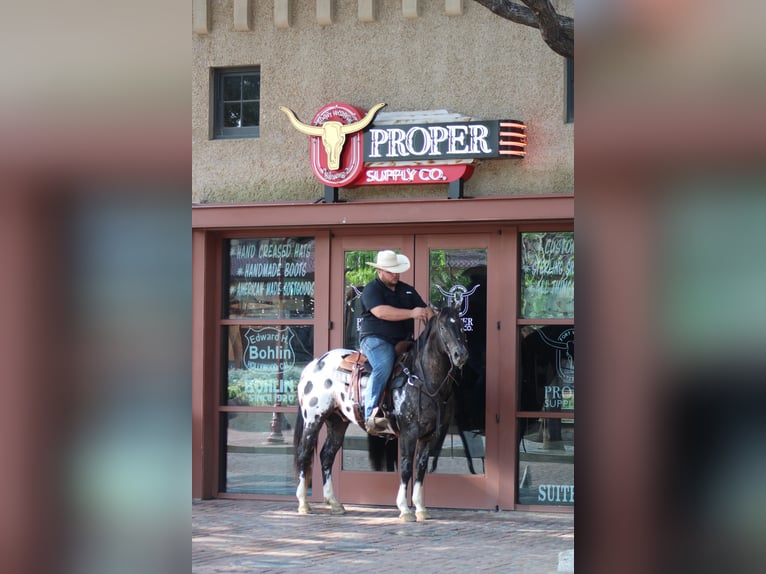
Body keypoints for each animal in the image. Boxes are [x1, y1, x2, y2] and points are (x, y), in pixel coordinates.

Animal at [296, 308, 472, 524]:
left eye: (462, 325)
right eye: (443, 327)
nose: (460, 355)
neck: (422, 379)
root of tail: (314, 364)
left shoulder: (428, 436)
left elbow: (421, 468)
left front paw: (421, 508)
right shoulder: (409, 432)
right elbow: (406, 466)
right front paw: (405, 509)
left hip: (337, 422)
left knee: (326, 455)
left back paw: (335, 503)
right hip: (313, 419)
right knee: (304, 454)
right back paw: (304, 503)